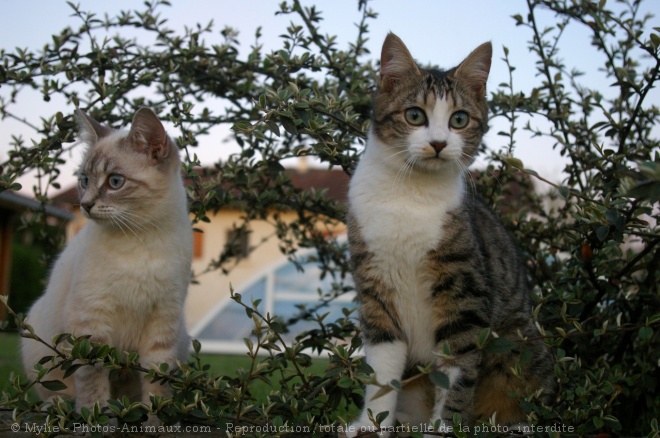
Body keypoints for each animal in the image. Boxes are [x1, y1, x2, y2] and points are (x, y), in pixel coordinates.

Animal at [20, 108, 191, 416]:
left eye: (115, 182)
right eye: (85, 180)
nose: (85, 205)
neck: (140, 238)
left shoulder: (163, 322)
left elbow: (157, 387)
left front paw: (156, 421)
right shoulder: (91, 322)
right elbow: (93, 383)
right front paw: (95, 418)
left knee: (130, 393)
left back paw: (129, 409)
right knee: (57, 393)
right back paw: (64, 409)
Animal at [348, 32, 556, 432]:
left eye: (459, 119)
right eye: (415, 115)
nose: (439, 143)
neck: (410, 193)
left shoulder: (465, 294)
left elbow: (458, 372)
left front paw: (443, 430)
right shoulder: (375, 288)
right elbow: (382, 370)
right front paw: (370, 425)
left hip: (518, 347)